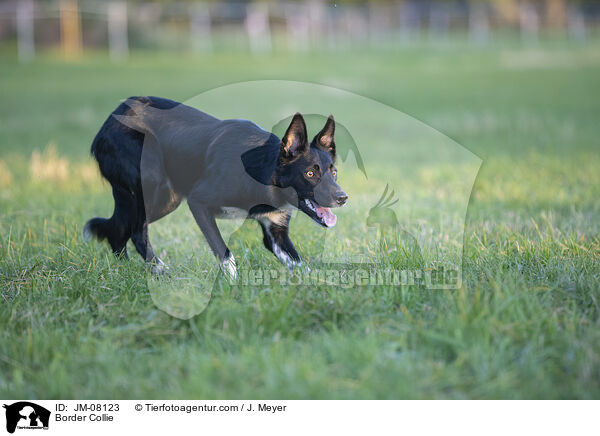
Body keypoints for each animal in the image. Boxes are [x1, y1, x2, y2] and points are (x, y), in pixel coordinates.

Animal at [84, 97, 346, 278]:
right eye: (310, 173)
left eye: (333, 173)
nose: (343, 198)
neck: (260, 171)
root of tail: (112, 116)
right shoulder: (198, 203)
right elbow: (226, 254)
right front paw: (232, 287)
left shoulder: (275, 232)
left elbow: (299, 264)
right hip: (150, 184)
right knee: (137, 231)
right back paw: (160, 271)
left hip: (166, 199)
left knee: (122, 229)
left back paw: (125, 270)